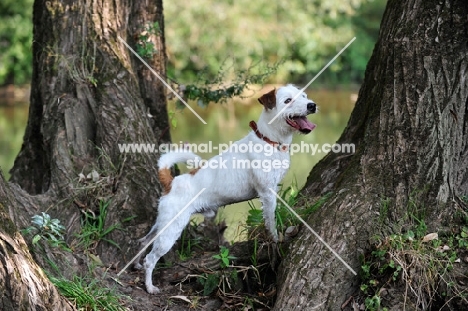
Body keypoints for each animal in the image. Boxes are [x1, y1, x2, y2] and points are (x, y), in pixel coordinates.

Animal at [137, 84, 316, 294]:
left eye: (304, 96)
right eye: (288, 100)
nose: (312, 105)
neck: (268, 140)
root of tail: (171, 182)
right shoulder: (267, 193)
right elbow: (270, 221)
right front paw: (275, 239)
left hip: (162, 224)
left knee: (143, 241)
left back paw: (136, 265)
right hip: (171, 230)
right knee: (151, 259)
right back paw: (150, 286)